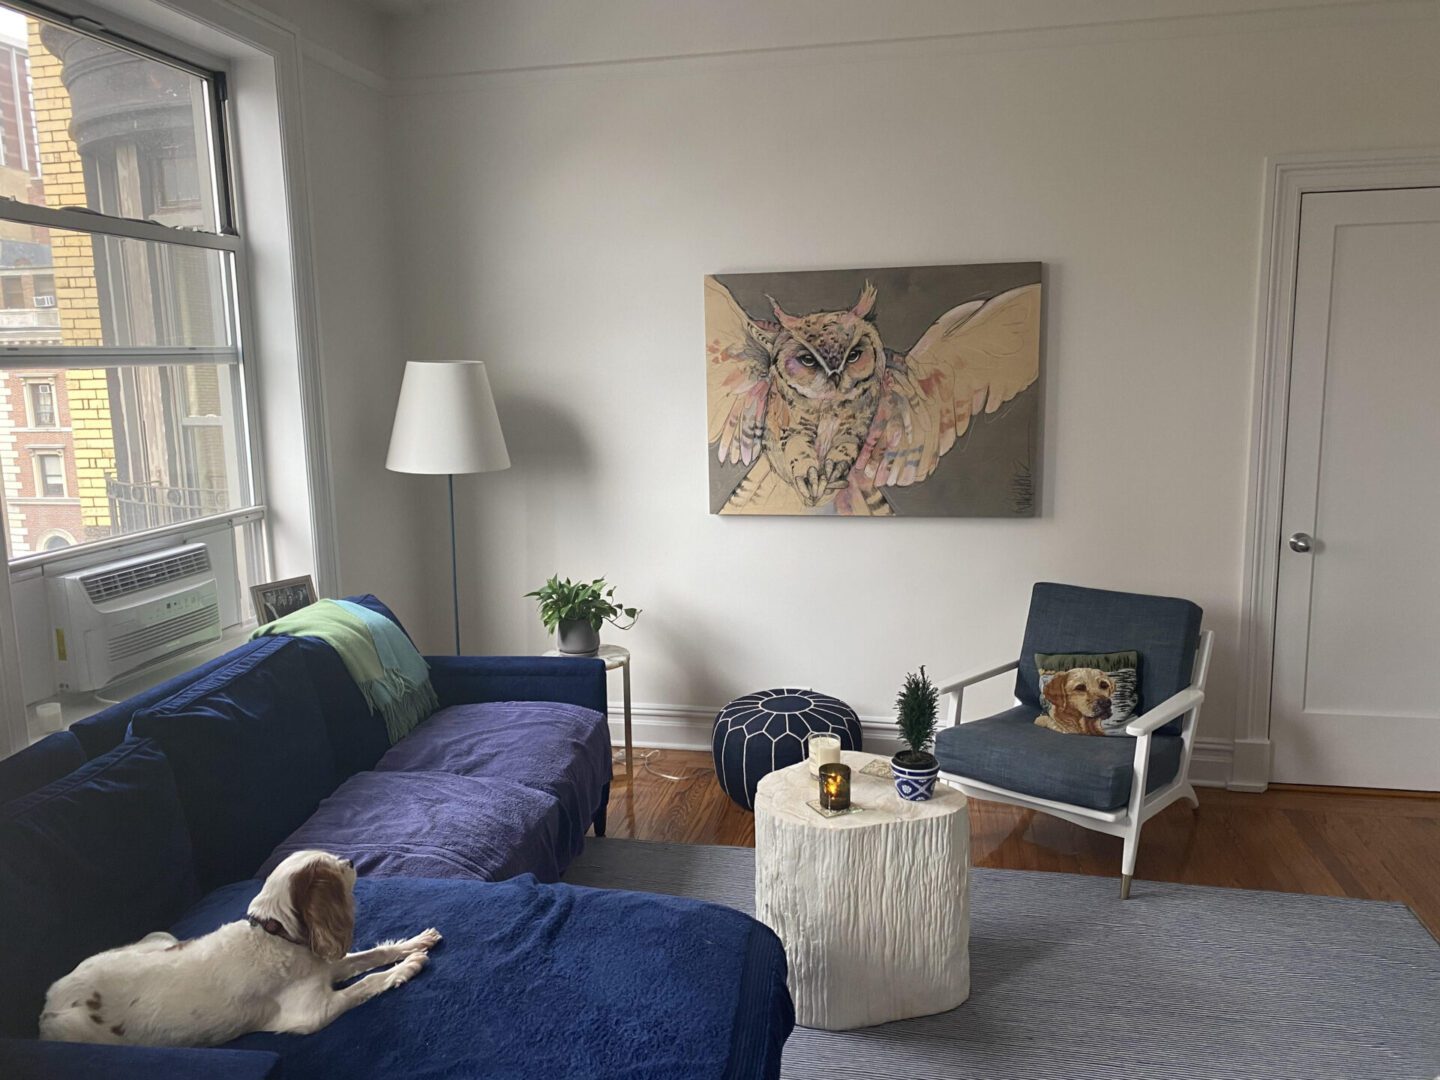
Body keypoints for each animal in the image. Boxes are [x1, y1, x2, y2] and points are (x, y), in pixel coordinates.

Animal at [39, 852, 437, 1048]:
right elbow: (366, 984)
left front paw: (414, 943)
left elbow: (371, 957)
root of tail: (49, 1002)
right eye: (334, 868)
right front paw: (408, 967)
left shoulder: (324, 967)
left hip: (160, 938)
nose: (352, 862)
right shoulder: (312, 1013)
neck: (275, 938)